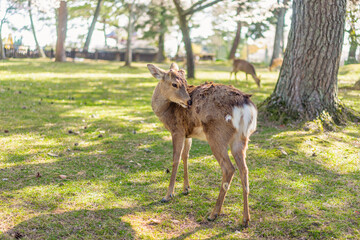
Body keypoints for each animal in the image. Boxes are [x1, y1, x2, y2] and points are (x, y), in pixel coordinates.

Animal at [148, 62, 258, 227]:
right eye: (175, 84)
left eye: (185, 82)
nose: (189, 102)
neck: (165, 111)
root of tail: (246, 108)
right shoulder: (188, 133)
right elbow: (186, 156)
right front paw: (186, 188)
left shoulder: (177, 130)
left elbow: (175, 159)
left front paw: (168, 195)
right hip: (241, 138)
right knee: (244, 170)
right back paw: (245, 219)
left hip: (216, 135)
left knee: (229, 168)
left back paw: (213, 214)